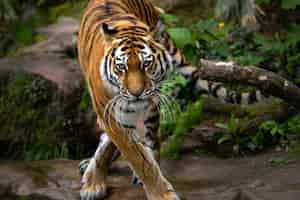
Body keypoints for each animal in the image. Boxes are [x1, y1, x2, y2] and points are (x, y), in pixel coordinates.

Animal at [77, 0, 264, 200]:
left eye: (146, 64)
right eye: (122, 67)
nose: (137, 93)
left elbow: (141, 158)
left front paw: (159, 192)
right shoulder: (109, 113)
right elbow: (132, 154)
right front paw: (94, 183)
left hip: (152, 105)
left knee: (152, 141)